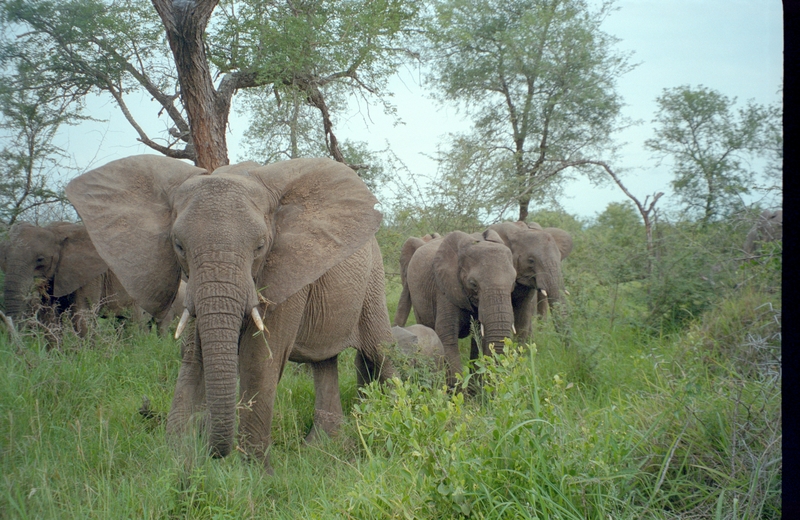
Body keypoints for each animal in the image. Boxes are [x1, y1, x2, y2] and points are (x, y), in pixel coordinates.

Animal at [0, 219, 142, 338]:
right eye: (5, 258)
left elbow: (82, 314)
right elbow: (49, 316)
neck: (54, 233)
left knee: (133, 321)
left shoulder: (90, 273)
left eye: (40, 259)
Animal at [65, 153, 394, 472]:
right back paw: (321, 447)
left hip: (374, 281)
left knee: (379, 350)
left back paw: (389, 419)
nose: (211, 451)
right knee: (324, 362)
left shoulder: (285, 270)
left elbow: (259, 358)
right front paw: (177, 460)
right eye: (178, 245)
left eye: (260, 246)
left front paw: (254, 474)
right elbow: (193, 355)